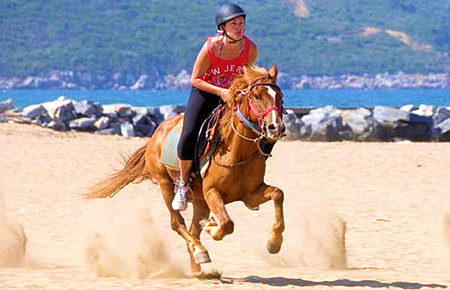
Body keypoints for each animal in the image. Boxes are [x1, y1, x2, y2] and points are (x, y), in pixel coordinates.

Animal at [85, 64, 284, 276]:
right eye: (256, 96)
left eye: (280, 96)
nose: (276, 128)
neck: (236, 153)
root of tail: (157, 132)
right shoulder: (212, 192)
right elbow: (227, 224)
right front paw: (212, 228)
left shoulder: (250, 194)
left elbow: (278, 194)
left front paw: (274, 242)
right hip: (166, 185)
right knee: (178, 223)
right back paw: (200, 250)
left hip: (199, 200)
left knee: (193, 228)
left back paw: (199, 267)